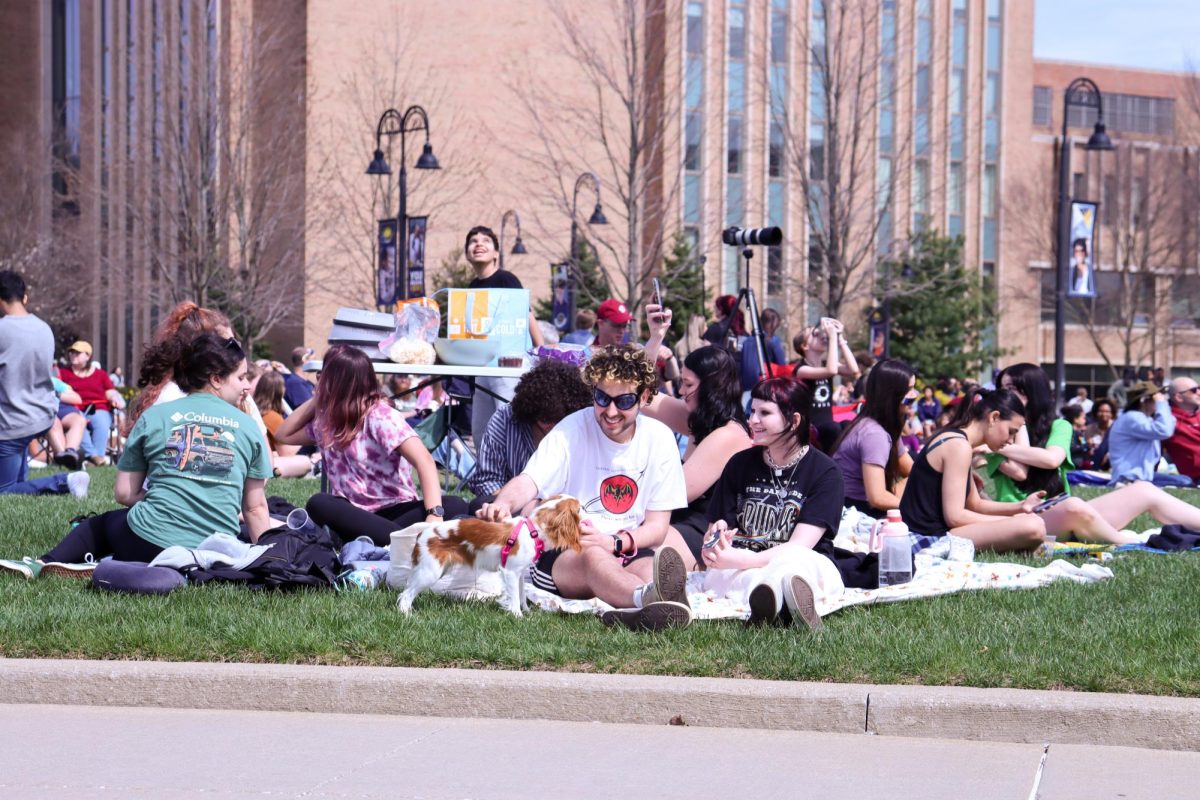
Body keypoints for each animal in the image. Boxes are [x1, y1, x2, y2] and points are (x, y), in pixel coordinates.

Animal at [396, 494, 583, 618]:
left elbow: (522, 595)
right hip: (430, 572)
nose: (587, 508)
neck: (532, 529)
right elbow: (514, 597)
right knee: (406, 595)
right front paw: (518, 616)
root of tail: (422, 534)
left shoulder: (519, 573)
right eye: (580, 508)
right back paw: (408, 615)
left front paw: (527, 612)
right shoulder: (510, 572)